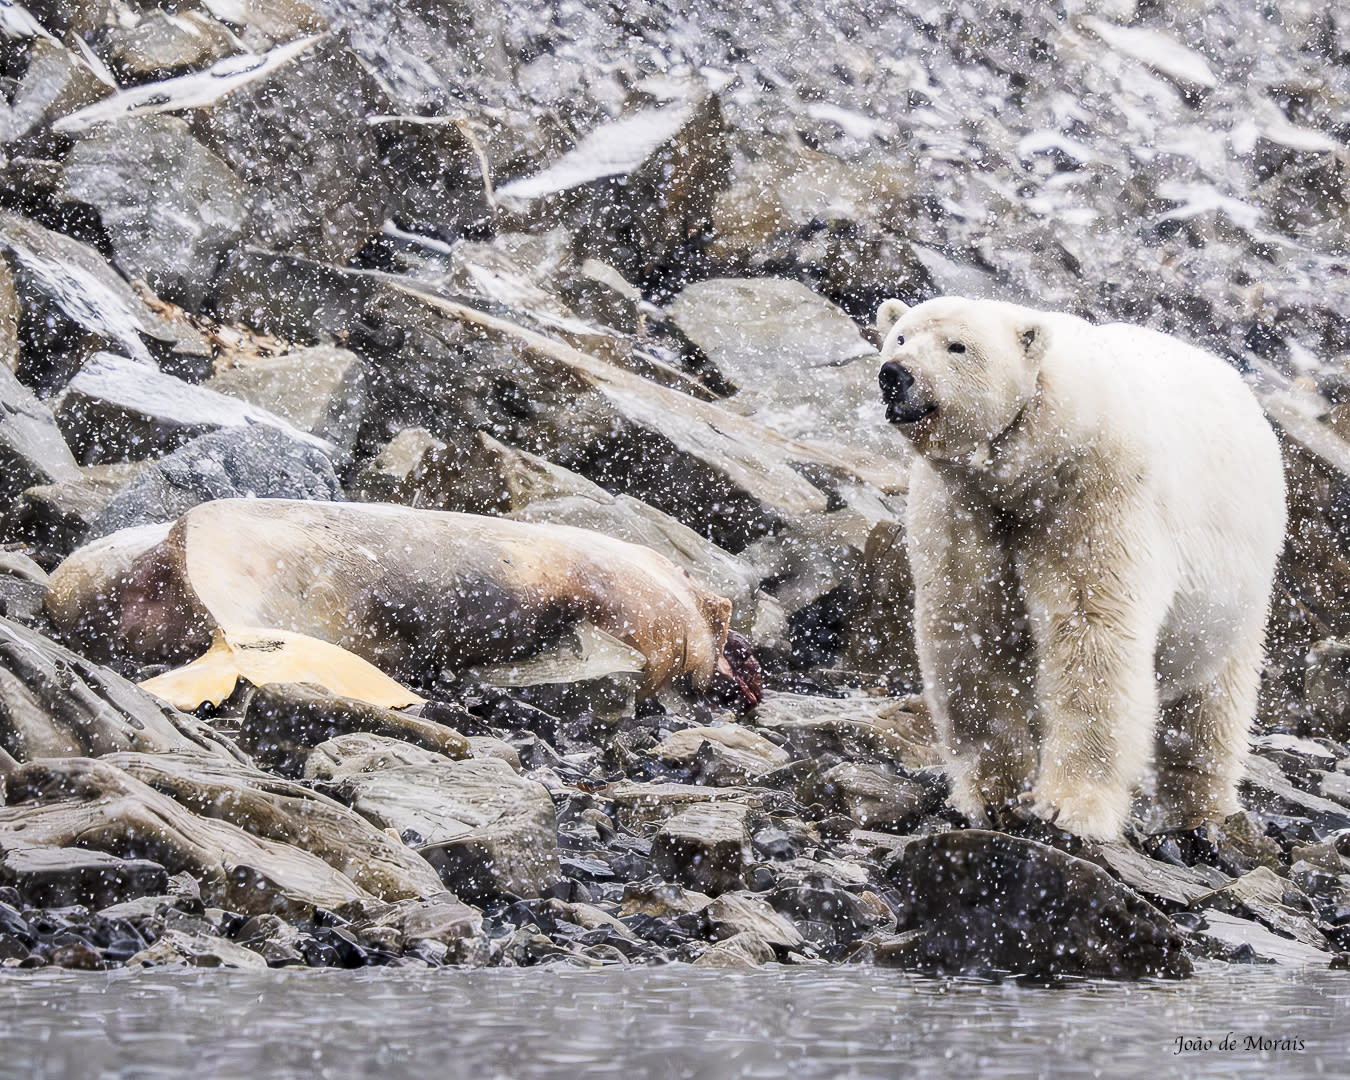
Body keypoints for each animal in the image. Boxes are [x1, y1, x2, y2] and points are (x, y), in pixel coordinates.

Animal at [874, 295, 1285, 842]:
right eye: (899, 336)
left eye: (957, 345)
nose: (894, 374)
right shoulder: (962, 508)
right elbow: (970, 627)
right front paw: (994, 795)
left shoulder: (1097, 495)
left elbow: (1092, 632)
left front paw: (1069, 807)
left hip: (1236, 593)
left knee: (1212, 704)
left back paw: (1201, 814)